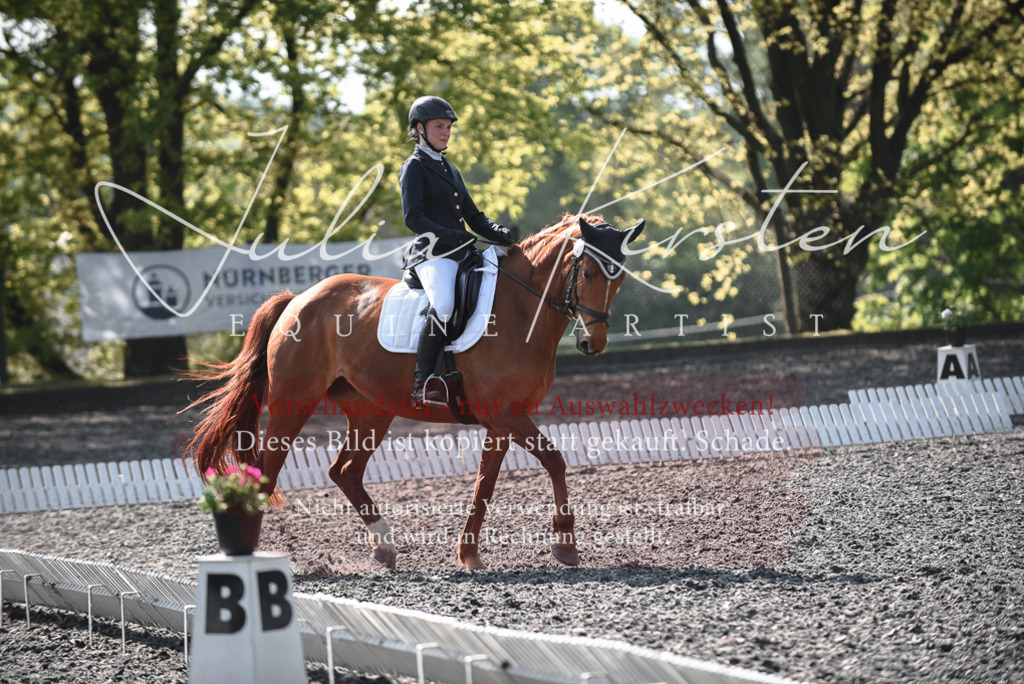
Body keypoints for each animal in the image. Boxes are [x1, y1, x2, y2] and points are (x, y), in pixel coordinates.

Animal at [186, 214, 645, 570]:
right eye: (587, 273)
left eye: (619, 278)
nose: (591, 343)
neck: (520, 310)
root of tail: (299, 299)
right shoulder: (505, 415)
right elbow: (554, 461)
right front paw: (565, 545)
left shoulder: (502, 420)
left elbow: (485, 484)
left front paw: (469, 555)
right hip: (293, 402)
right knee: (268, 471)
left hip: (372, 410)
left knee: (344, 471)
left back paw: (385, 548)